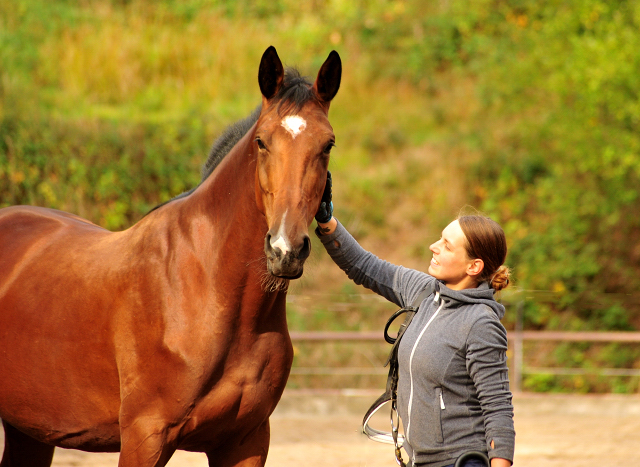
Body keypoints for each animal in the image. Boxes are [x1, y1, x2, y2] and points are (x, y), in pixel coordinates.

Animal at [0, 44, 342, 467]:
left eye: (327, 145)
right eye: (262, 142)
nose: (285, 250)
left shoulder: (245, 441)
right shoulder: (145, 436)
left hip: (29, 431)